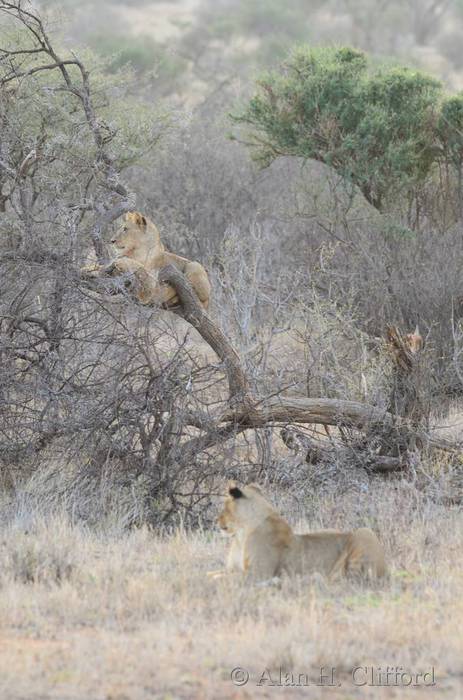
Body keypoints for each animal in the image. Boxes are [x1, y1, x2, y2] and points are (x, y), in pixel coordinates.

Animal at [83, 213, 212, 308]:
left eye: (125, 229)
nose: (112, 241)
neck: (134, 251)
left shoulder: (151, 281)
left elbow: (137, 266)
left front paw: (120, 262)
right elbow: (100, 267)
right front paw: (86, 269)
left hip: (195, 265)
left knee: (199, 295)